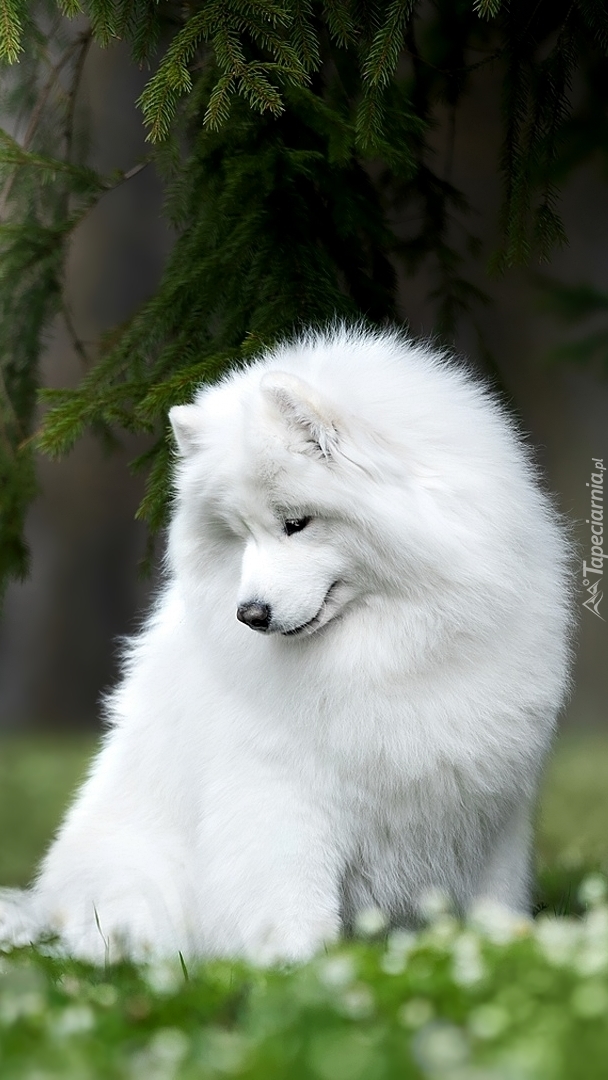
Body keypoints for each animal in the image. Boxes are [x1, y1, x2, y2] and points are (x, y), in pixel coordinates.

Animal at [0, 326, 574, 963]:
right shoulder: (281, 796)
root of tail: (44, 910)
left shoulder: (492, 805)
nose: (250, 615)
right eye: (239, 533)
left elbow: (496, 902)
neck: (393, 643)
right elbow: (289, 908)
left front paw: (504, 948)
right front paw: (301, 970)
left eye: (296, 523)